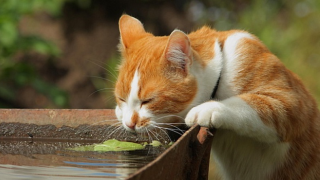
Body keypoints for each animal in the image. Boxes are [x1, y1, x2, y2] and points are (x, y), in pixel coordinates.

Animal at [114, 14, 320, 179]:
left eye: (148, 101)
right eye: (122, 99)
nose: (130, 124)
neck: (222, 70)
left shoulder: (290, 104)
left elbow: (248, 104)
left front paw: (209, 107)